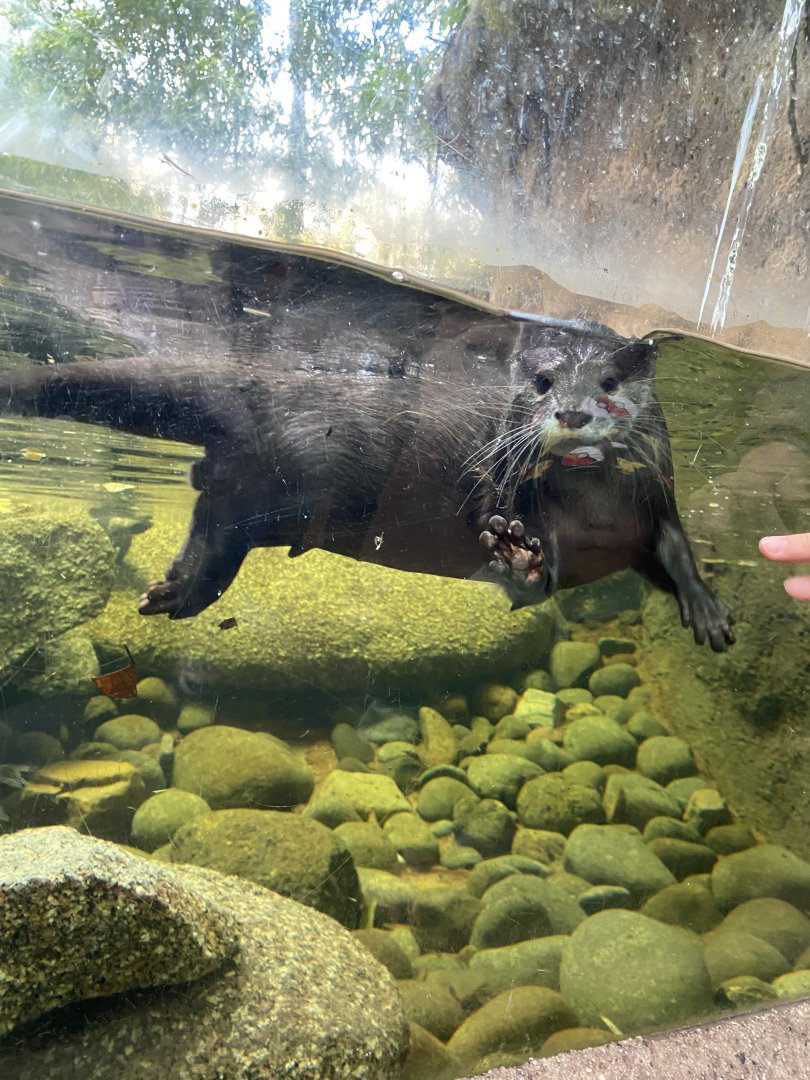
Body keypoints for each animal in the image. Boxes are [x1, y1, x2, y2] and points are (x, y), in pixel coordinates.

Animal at [0, 194, 732, 649]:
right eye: (541, 381)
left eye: (609, 381)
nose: (573, 412)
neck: (596, 508)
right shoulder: (514, 489)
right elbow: (527, 552)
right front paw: (520, 556)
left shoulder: (657, 494)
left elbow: (676, 549)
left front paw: (707, 610)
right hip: (313, 466)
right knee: (228, 501)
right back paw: (180, 589)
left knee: (220, 501)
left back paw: (176, 589)